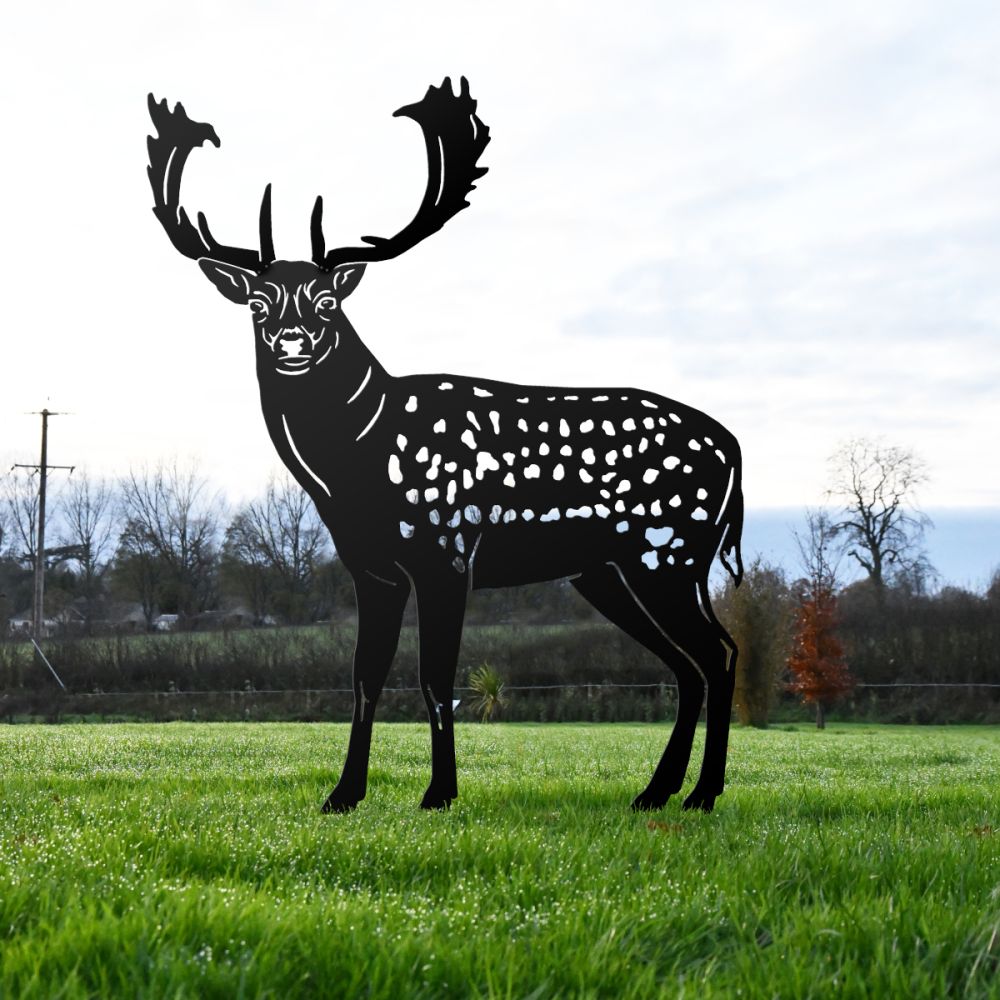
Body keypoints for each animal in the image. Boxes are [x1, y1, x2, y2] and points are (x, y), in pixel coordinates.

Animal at [146, 77, 744, 813]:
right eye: (258, 304)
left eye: (327, 302)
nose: (291, 343)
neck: (355, 461)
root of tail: (735, 451)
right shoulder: (370, 568)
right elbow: (364, 678)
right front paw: (344, 795)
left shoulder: (447, 547)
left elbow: (436, 676)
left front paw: (439, 794)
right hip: (611, 570)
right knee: (688, 664)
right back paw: (656, 794)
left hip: (670, 550)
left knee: (718, 653)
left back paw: (702, 795)